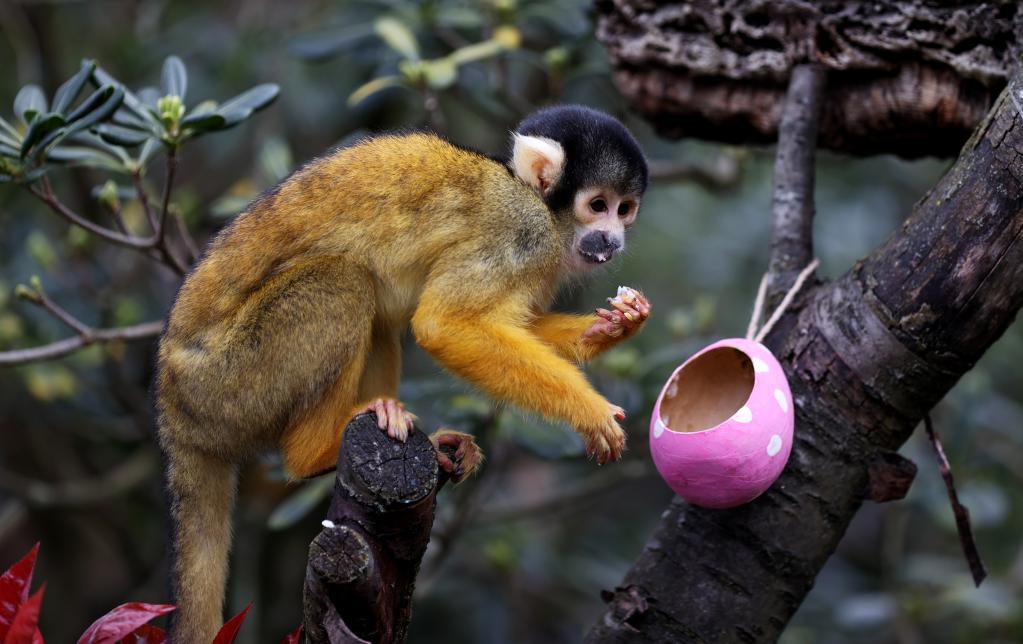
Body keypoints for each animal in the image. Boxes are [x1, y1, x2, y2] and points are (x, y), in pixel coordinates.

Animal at [155, 105, 650, 641]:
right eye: (597, 205)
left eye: (625, 210)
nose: (614, 240)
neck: (532, 198)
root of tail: (173, 409)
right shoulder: (519, 233)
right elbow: (444, 325)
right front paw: (590, 411)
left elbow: (510, 323)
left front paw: (612, 327)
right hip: (230, 381)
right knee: (344, 281)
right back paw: (315, 451)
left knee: (377, 311)